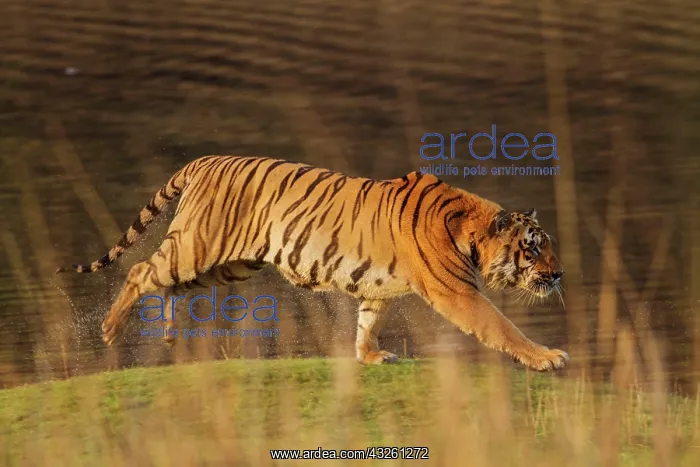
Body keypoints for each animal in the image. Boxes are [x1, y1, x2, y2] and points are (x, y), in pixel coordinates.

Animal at [57, 155, 569, 371]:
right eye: (533, 247)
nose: (558, 273)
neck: (468, 228)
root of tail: (204, 160)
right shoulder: (458, 293)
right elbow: (504, 328)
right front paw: (547, 357)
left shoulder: (377, 289)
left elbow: (367, 322)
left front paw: (370, 356)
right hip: (196, 248)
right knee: (140, 271)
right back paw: (110, 329)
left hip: (225, 265)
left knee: (162, 284)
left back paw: (163, 332)